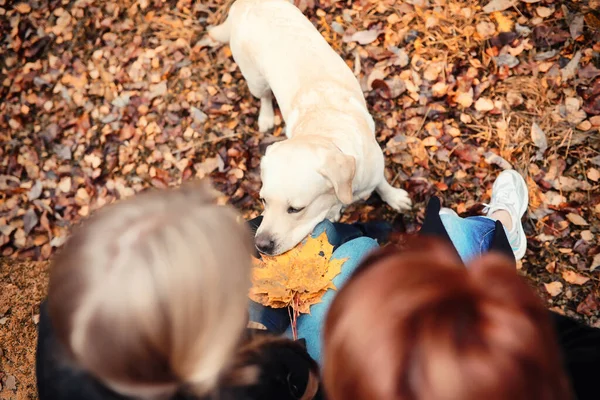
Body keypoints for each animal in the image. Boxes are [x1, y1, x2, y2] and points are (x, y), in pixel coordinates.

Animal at [209, 0, 410, 256]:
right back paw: (266, 117)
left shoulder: (373, 167)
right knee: (264, 96)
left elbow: (382, 183)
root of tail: (244, 3)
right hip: (255, 78)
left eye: (295, 209)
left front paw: (394, 197)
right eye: (263, 200)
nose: (260, 246)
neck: (323, 131)